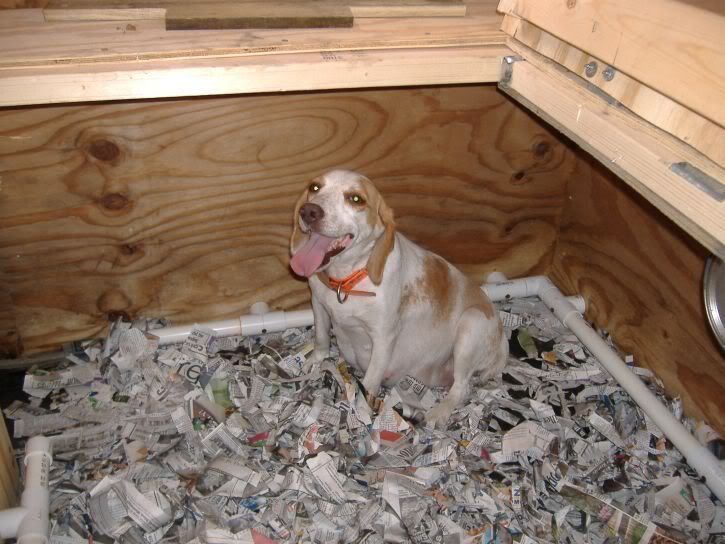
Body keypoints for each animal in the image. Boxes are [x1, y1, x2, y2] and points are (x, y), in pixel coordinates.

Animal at [288, 168, 504, 428]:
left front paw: (361, 413)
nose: (309, 211)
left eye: (356, 199)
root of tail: (504, 344)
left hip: (471, 324)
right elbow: (321, 338)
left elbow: (369, 383)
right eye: (315, 187)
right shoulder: (318, 306)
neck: (348, 279)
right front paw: (316, 361)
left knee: (461, 388)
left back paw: (437, 413)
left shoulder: (383, 338)